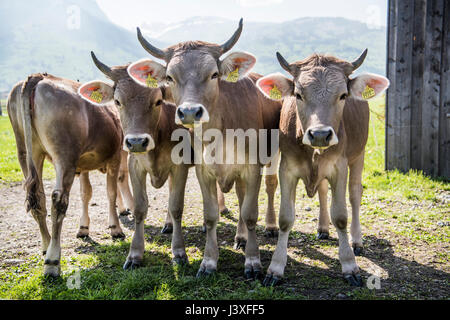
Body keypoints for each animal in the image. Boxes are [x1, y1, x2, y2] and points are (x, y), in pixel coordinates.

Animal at [7, 74, 134, 276]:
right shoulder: (114, 157)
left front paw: (84, 228)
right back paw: (52, 261)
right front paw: (115, 227)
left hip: (27, 153)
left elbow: (86, 193)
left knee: (39, 198)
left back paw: (46, 245)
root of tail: (38, 77)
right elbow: (112, 191)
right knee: (58, 200)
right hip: (64, 155)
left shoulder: (83, 166)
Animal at [126, 18, 282, 278]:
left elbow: (250, 214)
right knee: (240, 196)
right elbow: (210, 216)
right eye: (170, 77)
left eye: (214, 74)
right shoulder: (203, 170)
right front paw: (209, 262)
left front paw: (252, 261)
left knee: (268, 187)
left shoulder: (252, 168)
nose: (190, 111)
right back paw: (240, 237)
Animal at [256, 50, 390, 288]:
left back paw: (356, 240)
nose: (320, 134)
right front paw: (276, 268)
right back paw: (323, 228)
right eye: (298, 94)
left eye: (343, 95)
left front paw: (349, 265)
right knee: (322, 190)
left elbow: (341, 216)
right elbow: (285, 218)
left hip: (359, 154)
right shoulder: (287, 168)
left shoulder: (340, 167)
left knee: (355, 194)